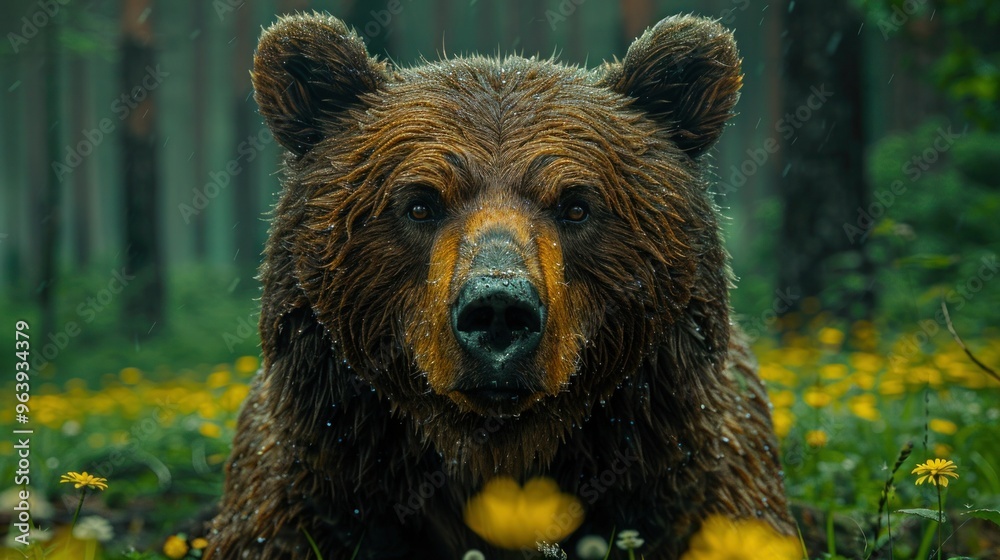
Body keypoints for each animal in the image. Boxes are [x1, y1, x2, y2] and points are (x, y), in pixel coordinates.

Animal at [207, 11, 794, 560]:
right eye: (419, 204)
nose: (497, 311)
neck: (495, 456)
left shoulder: (695, 492)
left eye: (576, 206)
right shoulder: (310, 498)